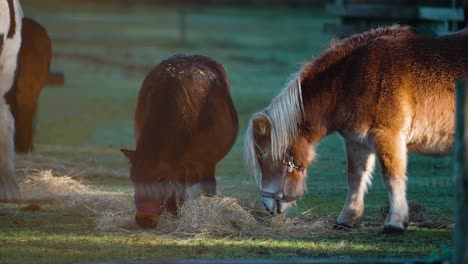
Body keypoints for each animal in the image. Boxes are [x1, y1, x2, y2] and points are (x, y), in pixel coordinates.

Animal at [245, 25, 468, 234]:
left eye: (263, 155)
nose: (267, 206)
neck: (352, 78)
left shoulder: (388, 137)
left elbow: (392, 178)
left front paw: (395, 222)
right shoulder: (357, 142)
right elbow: (355, 177)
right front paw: (347, 219)